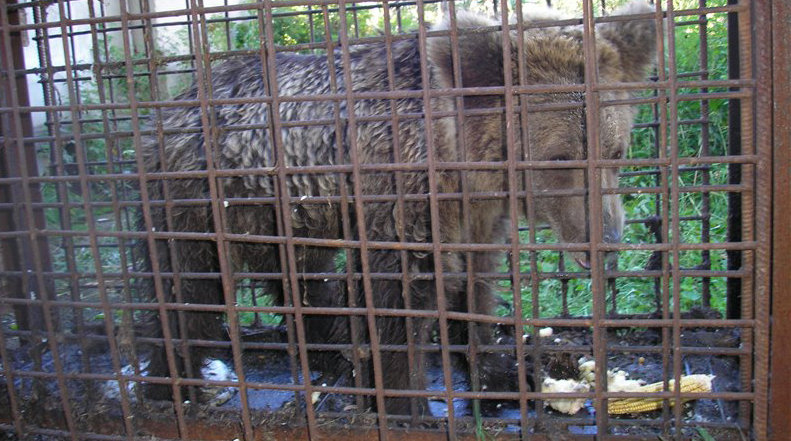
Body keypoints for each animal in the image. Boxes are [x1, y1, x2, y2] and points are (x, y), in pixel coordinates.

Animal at [137, 0, 657, 416]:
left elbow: (475, 291)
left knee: (301, 281)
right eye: (560, 158)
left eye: (616, 150)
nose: (607, 243)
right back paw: (171, 387)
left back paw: (333, 351)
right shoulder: (402, 203)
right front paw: (408, 404)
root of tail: (176, 101)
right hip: (202, 204)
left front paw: (501, 375)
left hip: (288, 216)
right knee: (188, 288)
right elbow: (399, 302)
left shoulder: (479, 217)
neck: (460, 164)